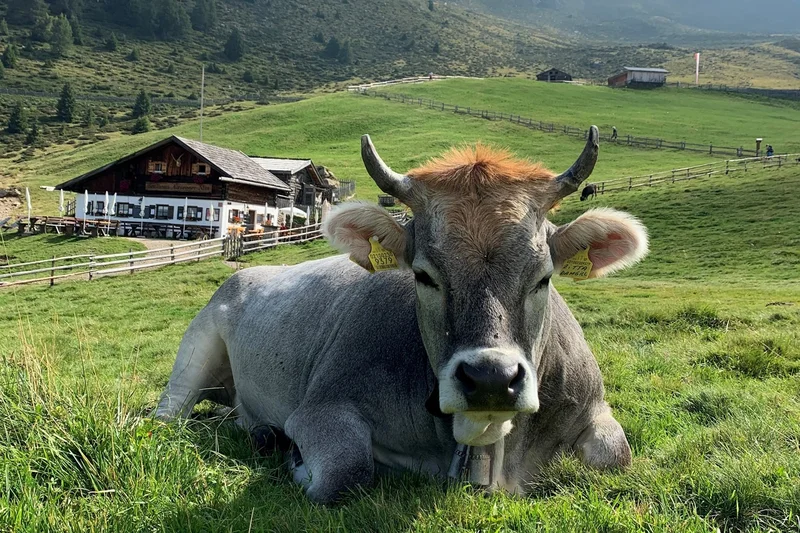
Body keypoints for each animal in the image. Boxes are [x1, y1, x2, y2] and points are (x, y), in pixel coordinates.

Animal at [156, 127, 649, 504]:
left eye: (543, 277)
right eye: (423, 275)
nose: (491, 379)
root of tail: (245, 271)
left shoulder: (594, 410)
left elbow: (617, 456)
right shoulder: (323, 407)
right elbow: (345, 472)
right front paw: (292, 455)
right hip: (195, 350)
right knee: (168, 416)